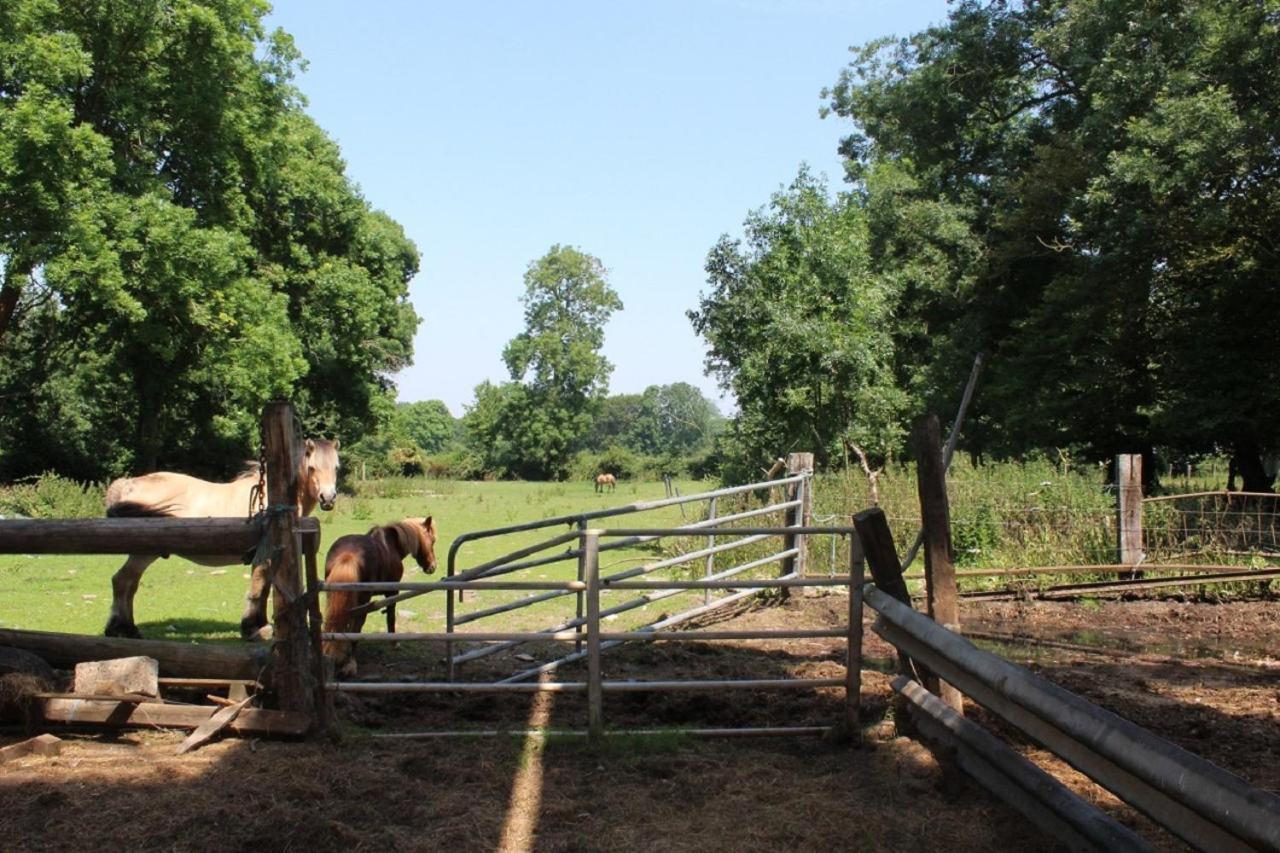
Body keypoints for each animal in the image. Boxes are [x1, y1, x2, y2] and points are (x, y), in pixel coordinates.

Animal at [102, 438, 340, 637]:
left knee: (127, 583)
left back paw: (125, 628)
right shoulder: (263, 556)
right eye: (312, 468)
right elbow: (258, 588)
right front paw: (251, 628)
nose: (328, 498)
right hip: (144, 553)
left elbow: (264, 590)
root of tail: (128, 484)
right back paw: (121, 629)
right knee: (123, 581)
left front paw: (260, 624)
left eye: (336, 467)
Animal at [322, 514, 437, 676]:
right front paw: (394, 643)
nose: (432, 567)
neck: (392, 545)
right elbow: (391, 617)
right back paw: (350, 664)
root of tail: (348, 555)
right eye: (432, 540)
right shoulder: (392, 593)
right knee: (356, 628)